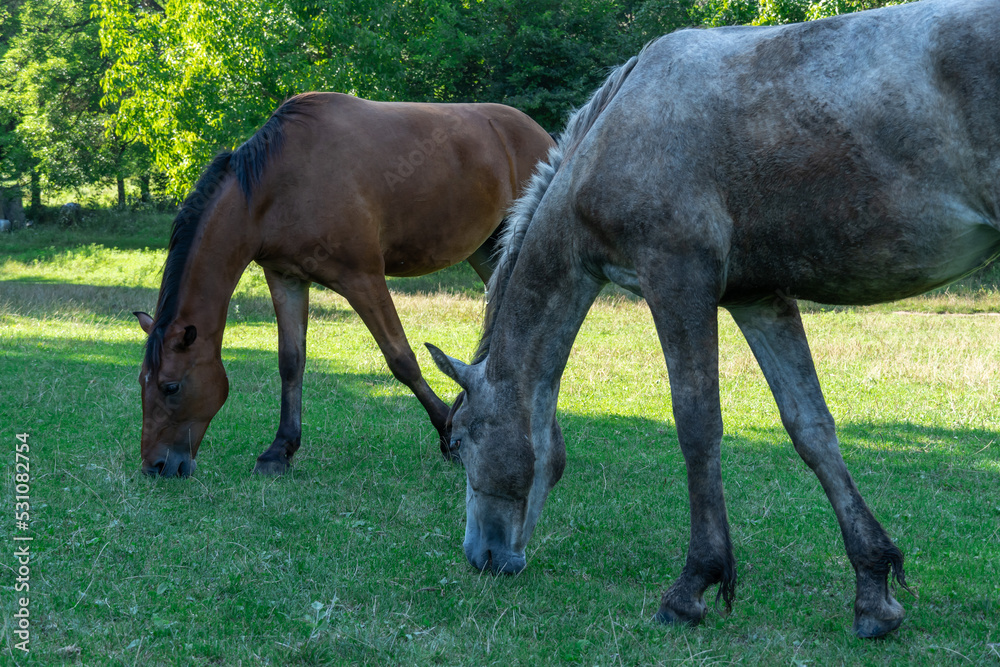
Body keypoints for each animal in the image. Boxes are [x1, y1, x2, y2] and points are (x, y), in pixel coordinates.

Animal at [134, 92, 554, 478]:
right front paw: (280, 450)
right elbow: (291, 362)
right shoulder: (286, 278)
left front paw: (447, 435)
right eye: (142, 383)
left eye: (171, 387)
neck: (276, 186)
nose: (156, 466)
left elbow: (402, 359)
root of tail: (537, 131)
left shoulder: (362, 278)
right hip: (488, 249)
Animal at [427, 0, 1000, 639]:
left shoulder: (678, 281)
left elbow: (697, 425)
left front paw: (692, 586)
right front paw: (874, 589)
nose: (482, 557)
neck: (616, 133)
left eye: (461, 441)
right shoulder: (760, 298)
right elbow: (812, 429)